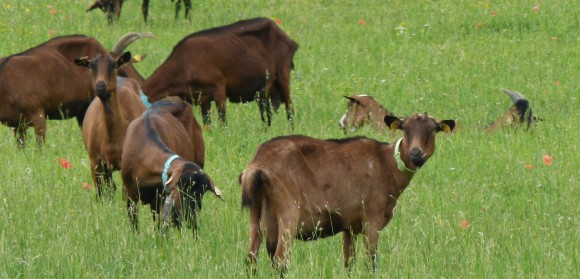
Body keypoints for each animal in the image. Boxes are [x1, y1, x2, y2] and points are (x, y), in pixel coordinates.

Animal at [122, 97, 222, 233]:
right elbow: (135, 224)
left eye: (203, 191)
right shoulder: (130, 196)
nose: (192, 216)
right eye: (184, 188)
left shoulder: (160, 198)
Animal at [142, 17, 300, 127]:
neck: (183, 63)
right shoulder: (202, 98)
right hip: (264, 90)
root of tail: (289, 39)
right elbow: (207, 125)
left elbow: (223, 123)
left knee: (290, 110)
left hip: (283, 77)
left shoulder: (218, 90)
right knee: (266, 114)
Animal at [238, 112, 456, 276]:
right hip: (288, 211)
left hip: (257, 213)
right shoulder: (372, 219)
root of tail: (257, 165)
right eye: (405, 128)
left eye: (433, 129)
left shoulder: (349, 226)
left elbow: (349, 262)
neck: (387, 164)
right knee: (280, 260)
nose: (415, 153)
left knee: (250, 259)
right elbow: (371, 263)